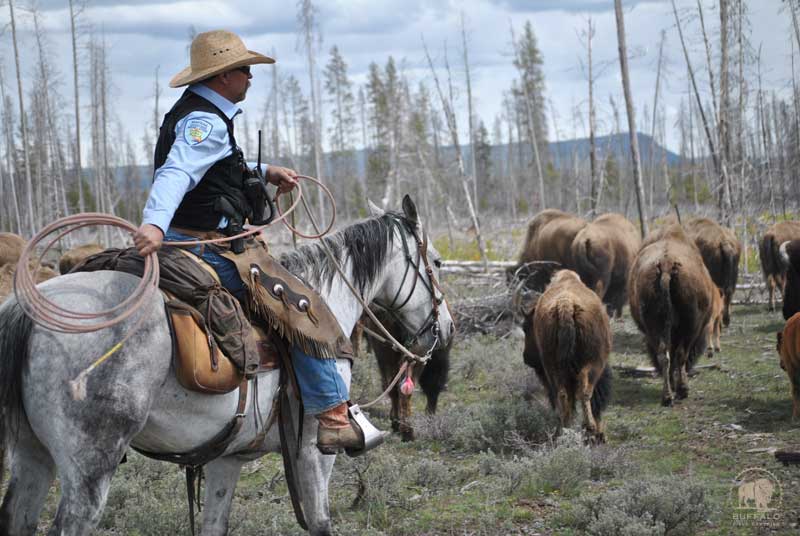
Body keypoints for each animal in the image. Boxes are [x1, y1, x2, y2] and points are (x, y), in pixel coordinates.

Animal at [521, 269, 612, 443]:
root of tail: (566, 304)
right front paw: (599, 433)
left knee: (563, 394)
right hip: (593, 364)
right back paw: (589, 428)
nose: (527, 358)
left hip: (553, 366)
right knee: (584, 390)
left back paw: (565, 430)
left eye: (526, 326)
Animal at [628, 225, 716, 406]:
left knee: (664, 354)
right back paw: (682, 390)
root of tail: (666, 264)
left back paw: (667, 396)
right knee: (680, 354)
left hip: (655, 326)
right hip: (689, 326)